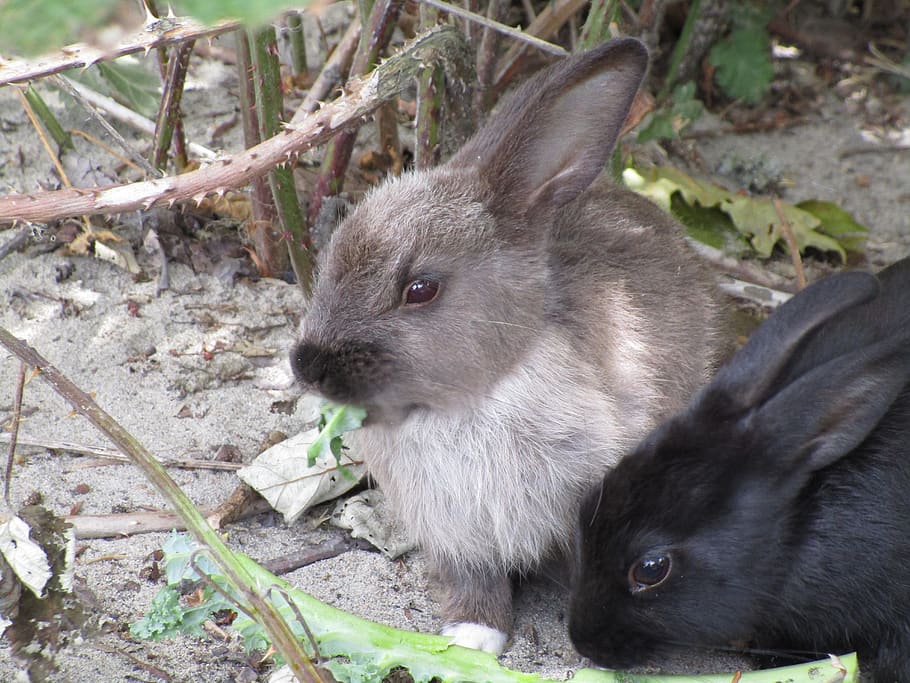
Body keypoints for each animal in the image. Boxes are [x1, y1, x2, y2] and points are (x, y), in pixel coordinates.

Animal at [292, 37, 721, 654]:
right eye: (328, 259)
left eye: (421, 289)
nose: (306, 366)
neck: (474, 397)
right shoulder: (456, 535)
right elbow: (474, 585)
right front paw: (471, 641)